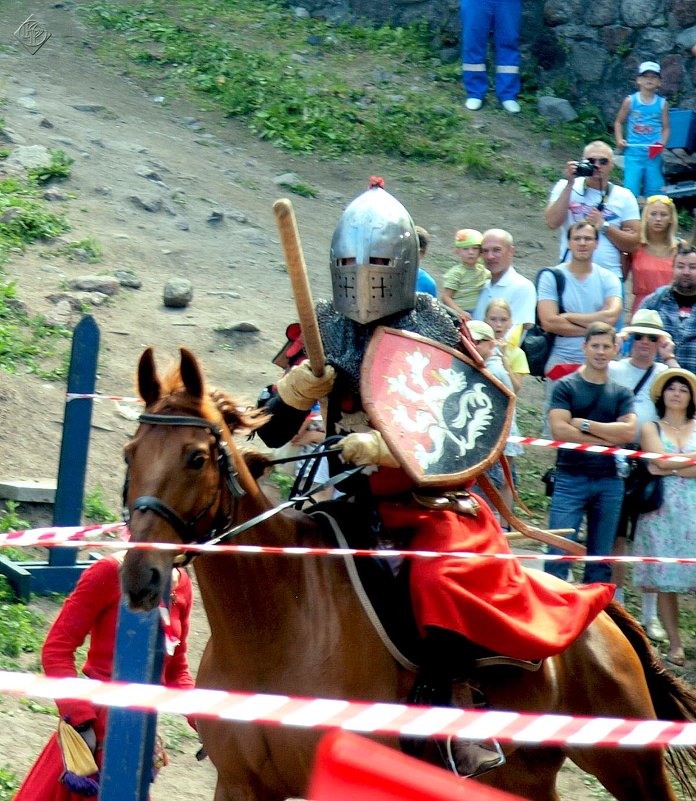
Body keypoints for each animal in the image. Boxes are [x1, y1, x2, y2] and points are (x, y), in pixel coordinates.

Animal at [121, 348, 696, 800]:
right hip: (526, 776)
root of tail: (605, 616)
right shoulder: (241, 784)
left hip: (630, 764)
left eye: (196, 458)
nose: (139, 578)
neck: (277, 624)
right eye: (131, 454)